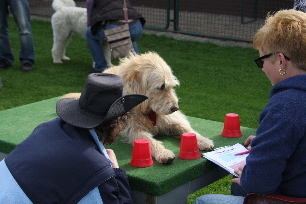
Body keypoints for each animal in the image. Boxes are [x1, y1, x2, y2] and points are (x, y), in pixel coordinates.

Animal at [63, 52, 214, 164]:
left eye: (171, 86)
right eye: (161, 87)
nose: (175, 108)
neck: (147, 110)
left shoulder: (172, 119)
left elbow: (186, 129)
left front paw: (203, 140)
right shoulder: (133, 129)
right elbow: (148, 140)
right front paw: (163, 152)